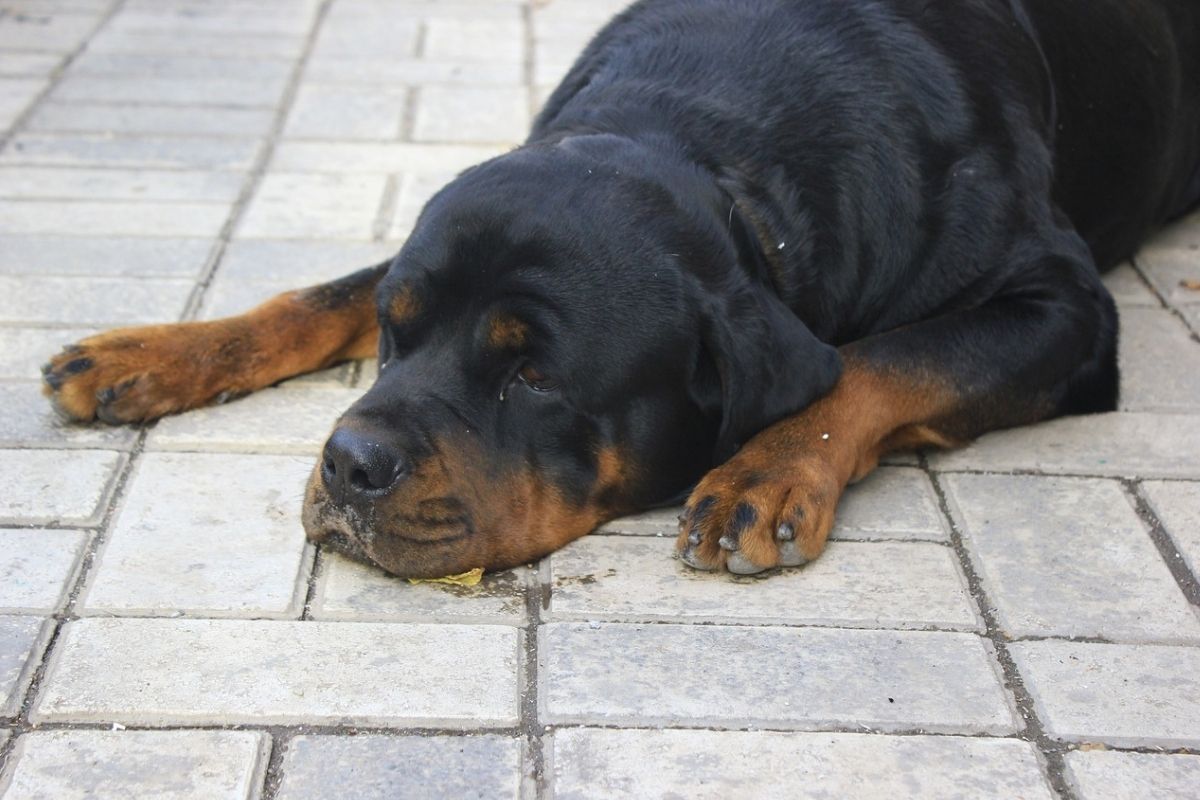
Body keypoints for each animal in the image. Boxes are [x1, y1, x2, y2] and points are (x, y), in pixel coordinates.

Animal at [42, 0, 1200, 575]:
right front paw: (150, 350)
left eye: (535, 377)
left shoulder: (1063, 308)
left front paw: (769, 468)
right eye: (396, 333)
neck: (717, 141)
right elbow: (322, 291)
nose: (349, 462)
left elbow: (878, 359)